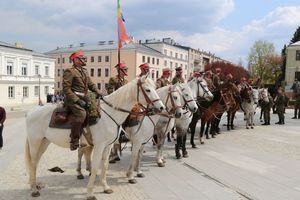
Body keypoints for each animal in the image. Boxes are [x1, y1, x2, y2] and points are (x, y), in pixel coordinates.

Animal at [25, 77, 166, 200]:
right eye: (147, 90)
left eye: (155, 88)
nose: (161, 107)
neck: (109, 114)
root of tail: (30, 113)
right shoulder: (100, 145)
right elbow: (95, 167)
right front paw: (90, 193)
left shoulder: (108, 146)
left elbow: (105, 165)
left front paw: (105, 187)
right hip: (35, 143)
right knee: (33, 163)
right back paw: (34, 190)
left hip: (44, 142)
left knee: (36, 162)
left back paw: (35, 185)